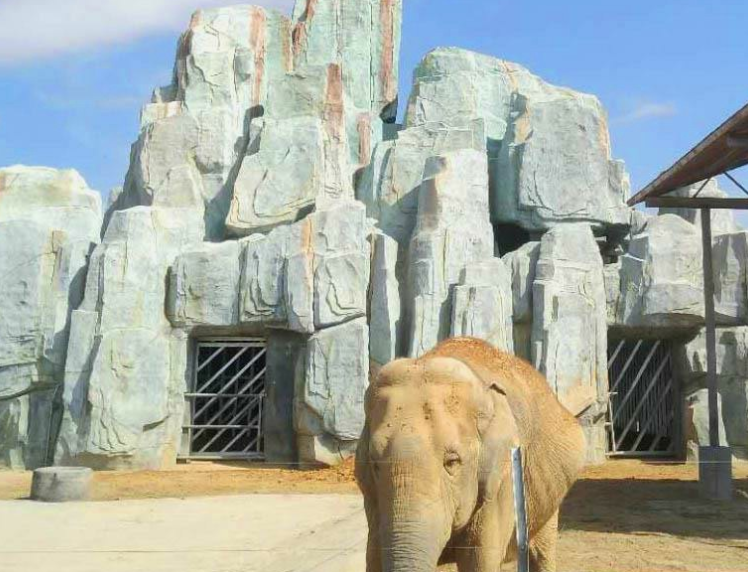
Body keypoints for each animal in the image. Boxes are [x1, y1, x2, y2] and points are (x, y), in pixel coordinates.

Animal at [354, 338, 588, 568]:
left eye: (452, 462)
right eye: (375, 464)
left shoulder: (500, 482)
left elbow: (479, 560)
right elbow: (374, 556)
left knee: (543, 552)